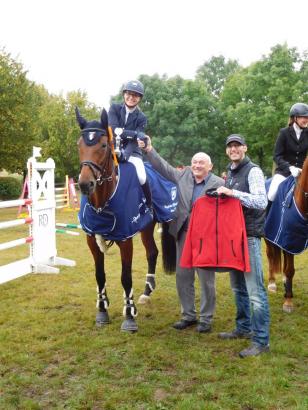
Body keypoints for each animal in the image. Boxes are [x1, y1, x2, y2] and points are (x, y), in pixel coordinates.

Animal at [75, 107, 170, 332]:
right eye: (79, 145)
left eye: (103, 145)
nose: (85, 185)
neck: (103, 200)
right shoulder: (91, 239)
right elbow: (99, 275)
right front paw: (102, 311)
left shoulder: (126, 239)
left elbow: (126, 277)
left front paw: (129, 315)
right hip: (146, 227)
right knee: (152, 252)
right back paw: (147, 291)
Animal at [264, 156, 308, 310]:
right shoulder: (290, 237)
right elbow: (290, 270)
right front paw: (288, 301)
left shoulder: (291, 240)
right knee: (271, 255)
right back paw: (272, 283)